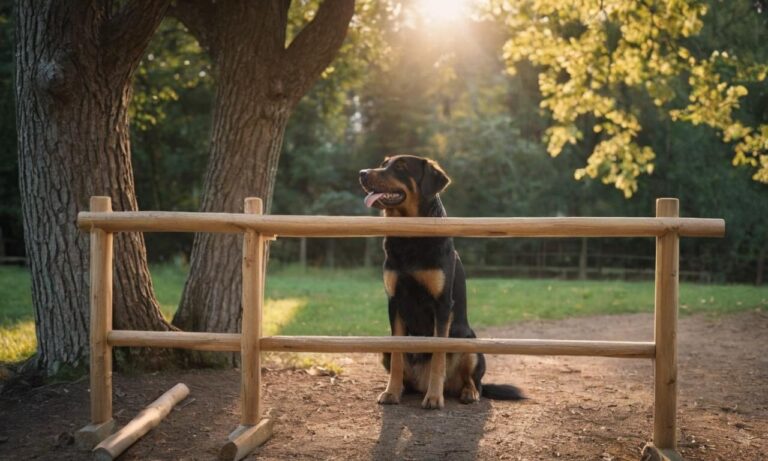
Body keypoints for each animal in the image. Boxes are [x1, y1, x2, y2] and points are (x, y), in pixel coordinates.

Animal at [360, 155, 520, 410]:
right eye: (383, 163)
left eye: (401, 166)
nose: (362, 173)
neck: (410, 238)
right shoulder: (394, 302)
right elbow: (397, 356)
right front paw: (391, 392)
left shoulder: (442, 304)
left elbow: (438, 354)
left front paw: (434, 397)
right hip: (383, 348)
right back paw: (404, 388)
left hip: (470, 343)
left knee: (475, 382)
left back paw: (467, 393)